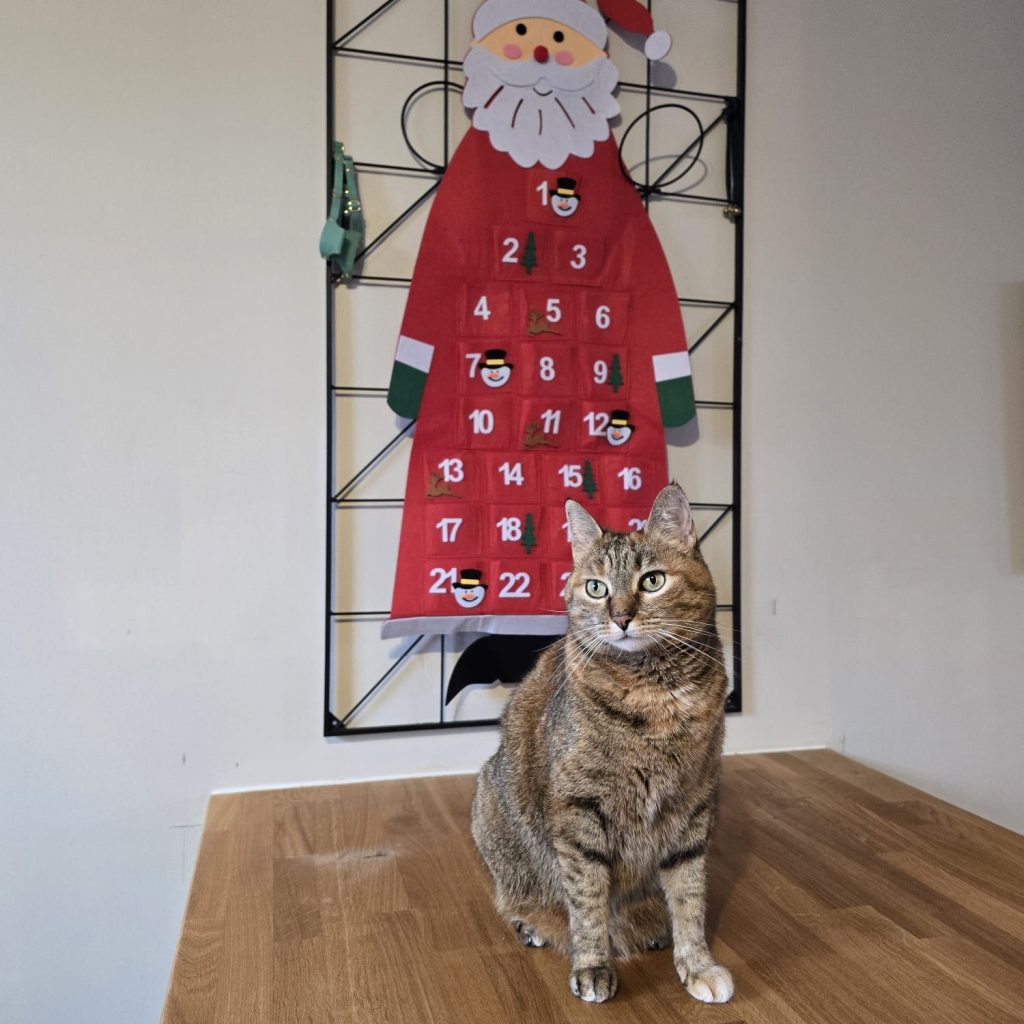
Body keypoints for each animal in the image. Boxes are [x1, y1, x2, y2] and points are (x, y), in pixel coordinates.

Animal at [471, 483, 734, 1005]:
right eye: (596, 588)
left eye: (652, 581)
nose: (621, 617)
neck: (655, 694)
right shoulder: (579, 814)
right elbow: (587, 898)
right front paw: (592, 964)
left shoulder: (693, 807)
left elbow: (689, 895)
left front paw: (696, 963)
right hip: (492, 809)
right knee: (518, 895)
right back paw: (533, 924)